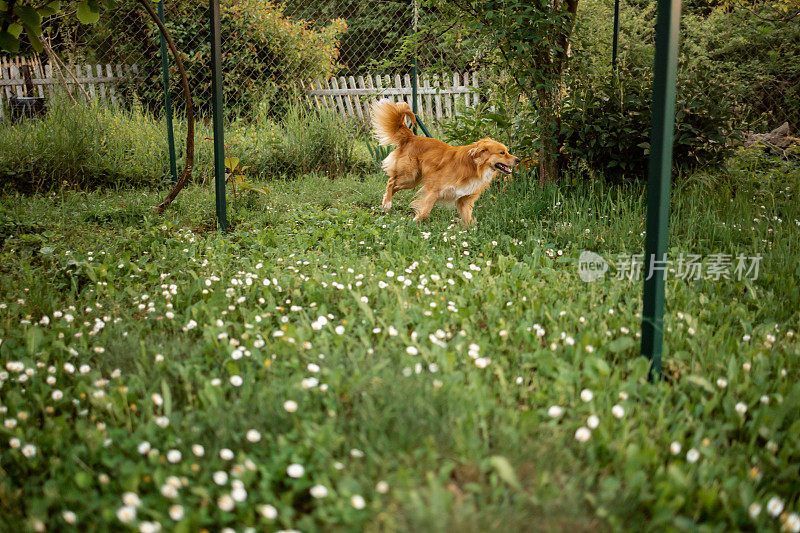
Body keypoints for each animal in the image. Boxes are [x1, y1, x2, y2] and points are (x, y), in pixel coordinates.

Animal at [370, 99, 520, 224]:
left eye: (507, 151)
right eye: (502, 153)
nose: (518, 160)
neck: (475, 167)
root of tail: (412, 137)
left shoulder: (464, 200)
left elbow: (468, 220)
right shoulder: (434, 190)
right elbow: (425, 212)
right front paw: (413, 225)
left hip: (413, 181)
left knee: (394, 186)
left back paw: (385, 202)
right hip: (409, 175)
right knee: (391, 182)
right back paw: (387, 203)